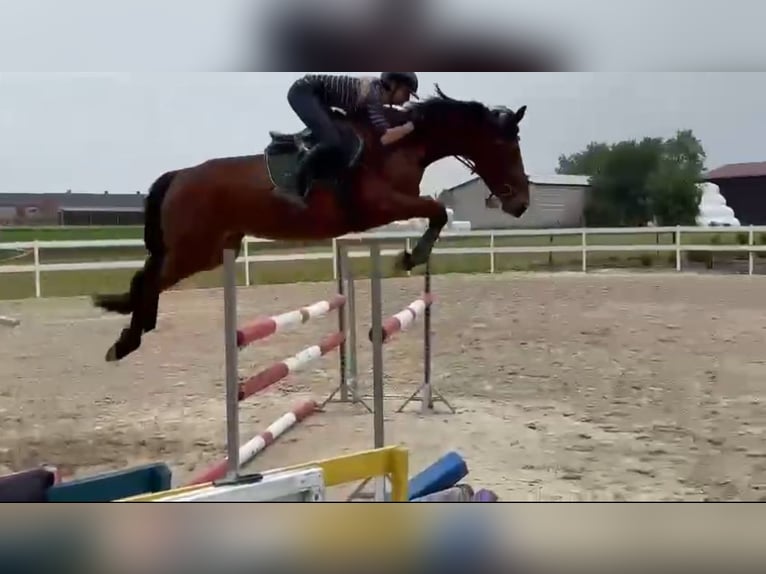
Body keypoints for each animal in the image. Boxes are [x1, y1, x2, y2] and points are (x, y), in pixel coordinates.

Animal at [92, 84, 531, 363]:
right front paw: (409, 258)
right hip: (192, 249)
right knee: (149, 279)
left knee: (146, 276)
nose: (521, 203)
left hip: (207, 251)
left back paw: (134, 326)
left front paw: (410, 257)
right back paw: (125, 343)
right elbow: (437, 210)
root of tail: (179, 176)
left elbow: (436, 211)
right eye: (505, 146)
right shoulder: (382, 205)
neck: (398, 144)